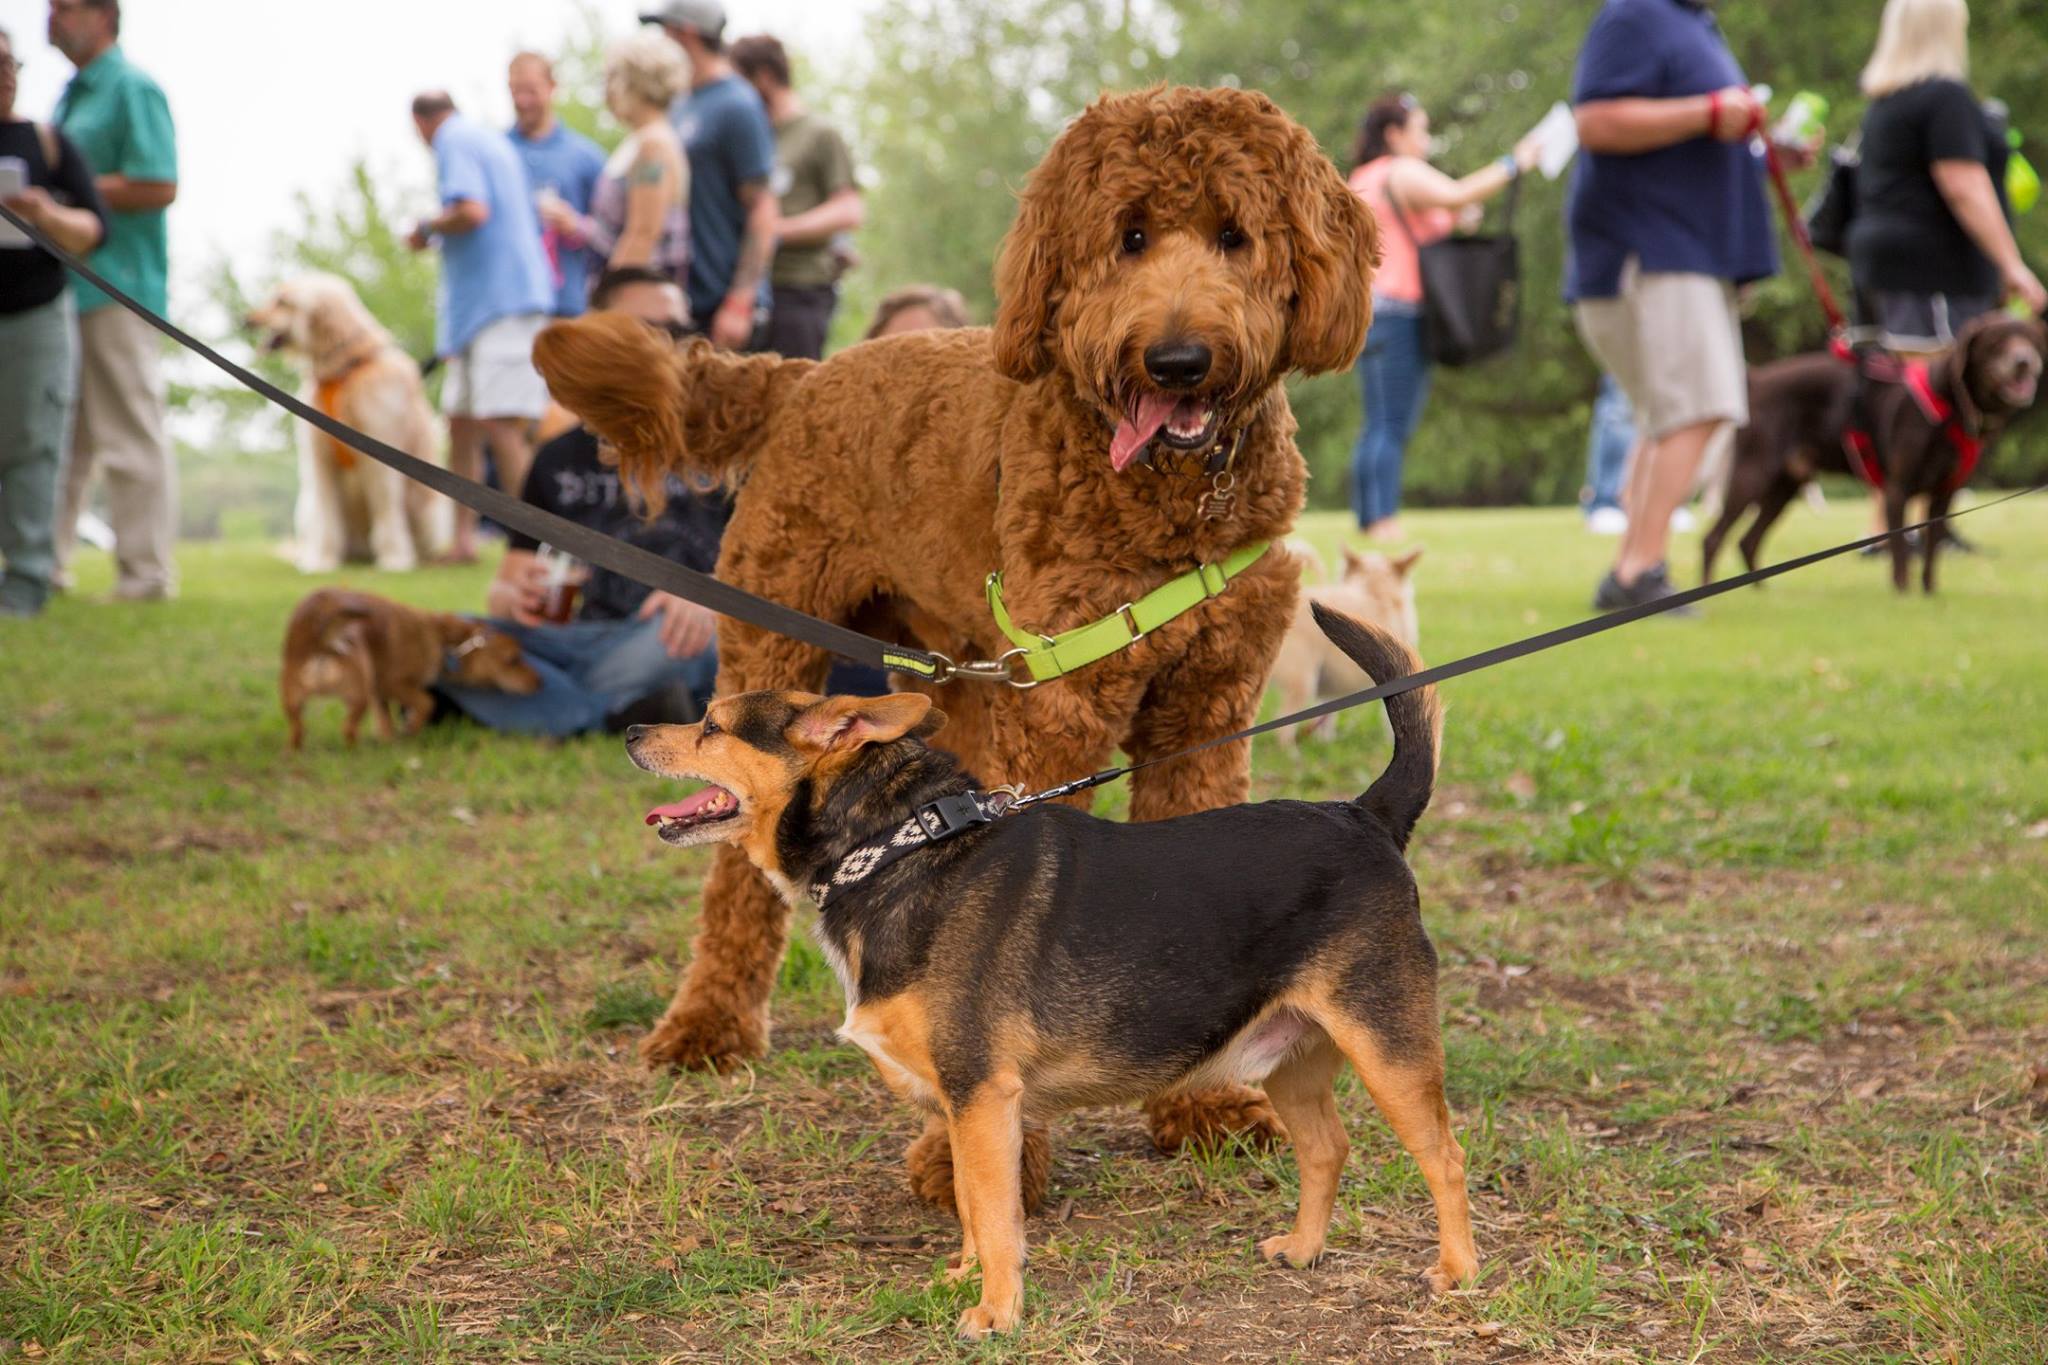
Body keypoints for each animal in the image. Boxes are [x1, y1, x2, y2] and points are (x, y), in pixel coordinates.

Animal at [247, 274, 452, 573]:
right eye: (274, 298)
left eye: (283, 302)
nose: (246, 320)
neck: (343, 371)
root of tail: (360, 551)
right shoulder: (319, 456)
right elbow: (328, 518)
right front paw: (322, 561)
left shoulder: (381, 447)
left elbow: (386, 510)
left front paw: (394, 559)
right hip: (306, 508)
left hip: (429, 512)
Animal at [618, 605, 1474, 1334]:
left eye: (711, 725)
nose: (629, 728)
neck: (895, 847)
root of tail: (1366, 815)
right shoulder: (962, 1105)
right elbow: (971, 1204)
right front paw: (966, 1277)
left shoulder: (982, 1095)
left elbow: (996, 1214)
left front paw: (996, 1312)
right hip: (1291, 1057)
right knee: (1327, 1147)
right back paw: (1303, 1248)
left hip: (1387, 1048)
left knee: (1445, 1156)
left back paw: (1457, 1272)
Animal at [1261, 540, 1425, 749]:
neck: (1374, 591)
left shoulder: (1329, 690)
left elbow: (1326, 716)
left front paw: (1325, 742)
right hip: (1302, 681)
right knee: (1283, 725)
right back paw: (1291, 753)